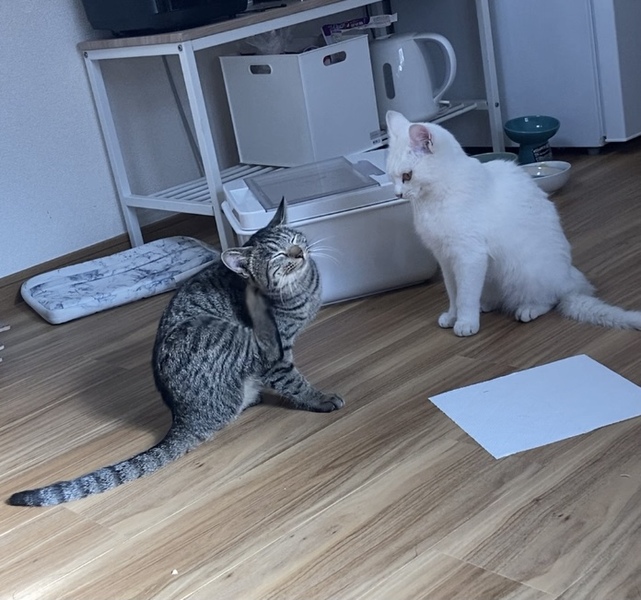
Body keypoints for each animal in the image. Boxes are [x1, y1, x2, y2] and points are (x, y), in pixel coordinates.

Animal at [9, 199, 343, 507]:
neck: (304, 289)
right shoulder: (275, 356)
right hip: (226, 334)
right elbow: (297, 384)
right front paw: (321, 399)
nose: (299, 253)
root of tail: (182, 415)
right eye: (278, 255)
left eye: (294, 239)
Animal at [385, 109, 641, 337]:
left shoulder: (469, 256)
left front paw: (465, 323)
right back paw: (486, 304)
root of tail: (568, 280)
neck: (433, 200)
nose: (398, 194)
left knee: (549, 299)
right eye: (391, 176)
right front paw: (452, 316)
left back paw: (527, 309)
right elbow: (453, 293)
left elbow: (465, 295)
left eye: (407, 176)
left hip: (524, 271)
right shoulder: (446, 259)